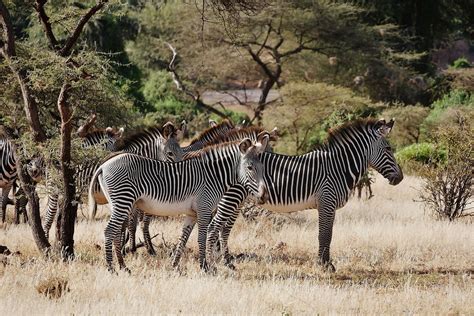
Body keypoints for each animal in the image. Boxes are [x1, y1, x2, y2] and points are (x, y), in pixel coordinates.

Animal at [90, 133, 270, 272]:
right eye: (250, 168)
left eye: (263, 167)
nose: (264, 196)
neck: (213, 176)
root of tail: (104, 165)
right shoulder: (204, 210)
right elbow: (201, 238)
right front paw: (205, 267)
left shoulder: (192, 214)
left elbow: (183, 239)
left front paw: (174, 265)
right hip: (123, 200)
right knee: (109, 231)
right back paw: (111, 268)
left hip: (118, 203)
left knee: (115, 232)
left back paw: (123, 266)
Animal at [206, 118, 402, 272]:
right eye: (388, 148)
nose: (400, 178)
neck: (339, 167)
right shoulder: (326, 202)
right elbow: (325, 234)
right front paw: (325, 265)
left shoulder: (329, 206)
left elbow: (327, 234)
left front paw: (324, 262)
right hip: (232, 197)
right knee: (214, 226)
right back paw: (212, 263)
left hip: (236, 200)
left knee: (223, 228)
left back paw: (226, 262)